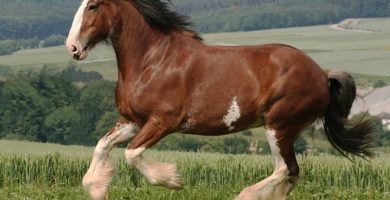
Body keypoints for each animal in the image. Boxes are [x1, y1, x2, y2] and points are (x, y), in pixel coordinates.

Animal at [65, 0, 374, 199]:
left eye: (93, 6)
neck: (153, 61)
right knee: (292, 173)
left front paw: (172, 180)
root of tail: (321, 74)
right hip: (282, 129)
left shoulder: (163, 122)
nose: (73, 48)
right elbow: (102, 146)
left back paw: (245, 195)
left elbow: (132, 153)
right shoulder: (132, 120)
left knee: (285, 169)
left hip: (280, 126)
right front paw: (96, 188)